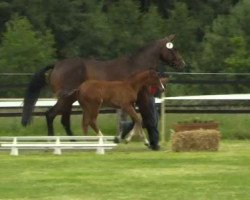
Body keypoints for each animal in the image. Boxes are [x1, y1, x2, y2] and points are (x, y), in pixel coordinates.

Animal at [22, 34, 186, 150]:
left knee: (64, 120)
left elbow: (137, 120)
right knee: (50, 115)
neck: (137, 68)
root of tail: (56, 65)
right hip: (66, 99)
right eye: (173, 49)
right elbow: (144, 119)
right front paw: (149, 143)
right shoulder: (141, 98)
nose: (182, 64)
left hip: (70, 100)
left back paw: (74, 141)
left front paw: (124, 137)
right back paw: (52, 143)